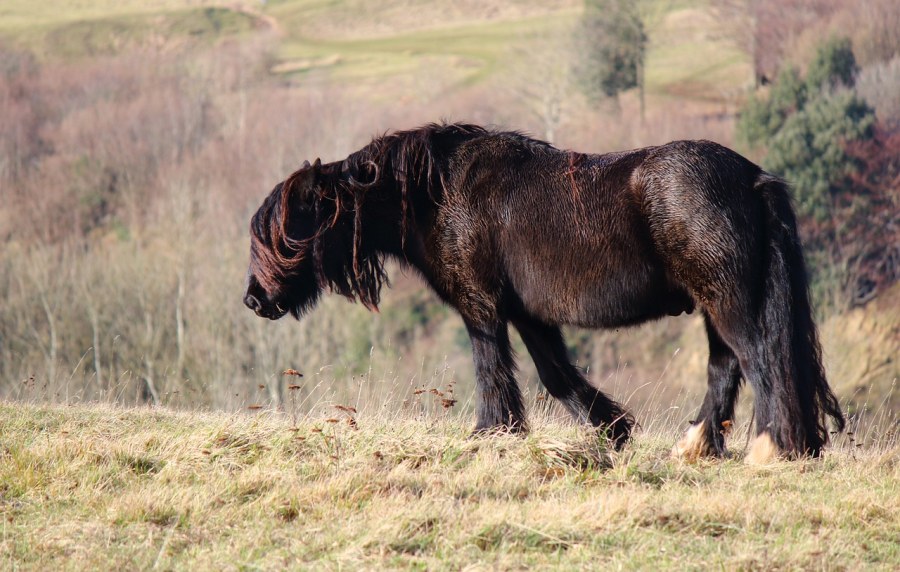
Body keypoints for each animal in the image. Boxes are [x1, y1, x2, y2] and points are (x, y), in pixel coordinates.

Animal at [243, 122, 845, 462]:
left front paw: (490, 432)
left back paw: (769, 447)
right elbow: (556, 374)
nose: (254, 300)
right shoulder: (528, 313)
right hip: (717, 306)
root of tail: (753, 178)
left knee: (760, 359)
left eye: (286, 232)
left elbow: (491, 367)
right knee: (728, 366)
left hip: (726, 301)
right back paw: (697, 447)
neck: (439, 194)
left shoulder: (482, 305)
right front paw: (612, 431)